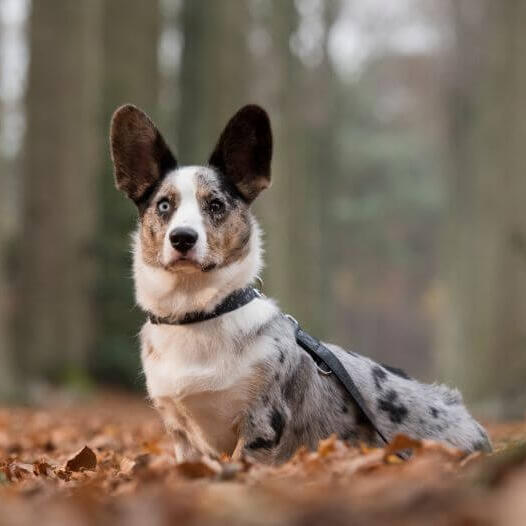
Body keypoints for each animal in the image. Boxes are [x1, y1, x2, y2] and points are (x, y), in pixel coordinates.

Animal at [109, 104, 492, 466]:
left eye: (215, 204)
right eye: (164, 205)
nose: (182, 238)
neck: (199, 313)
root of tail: (470, 420)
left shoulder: (261, 423)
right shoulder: (182, 436)